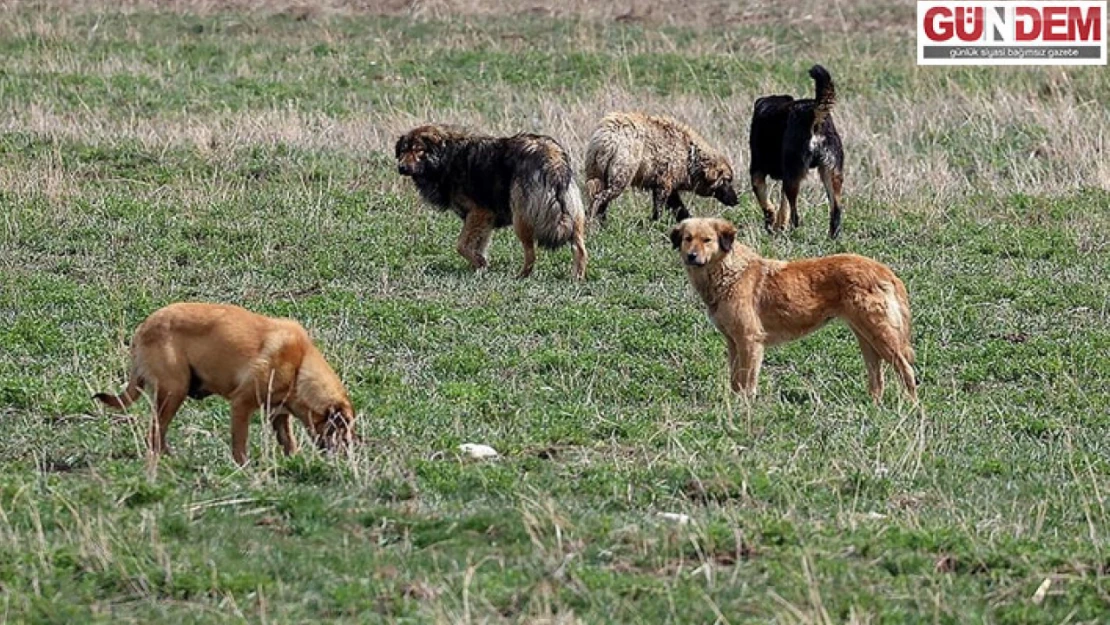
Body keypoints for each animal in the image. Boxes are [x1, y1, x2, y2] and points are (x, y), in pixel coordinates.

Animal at [97, 304, 355, 464]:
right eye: (343, 429)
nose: (350, 454)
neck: (299, 366)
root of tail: (143, 329)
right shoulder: (241, 404)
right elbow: (240, 444)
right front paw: (243, 468)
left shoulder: (278, 414)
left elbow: (288, 442)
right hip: (174, 391)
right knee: (154, 433)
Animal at [399, 124, 590, 278]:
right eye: (403, 151)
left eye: (419, 150)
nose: (401, 167)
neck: (447, 157)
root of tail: (552, 156)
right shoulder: (485, 220)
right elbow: (477, 245)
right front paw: (478, 268)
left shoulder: (479, 212)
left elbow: (461, 245)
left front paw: (480, 263)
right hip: (573, 217)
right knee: (580, 249)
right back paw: (577, 277)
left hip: (521, 219)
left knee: (531, 254)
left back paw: (521, 276)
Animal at [586, 113, 741, 225]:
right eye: (728, 180)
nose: (736, 200)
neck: (689, 157)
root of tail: (607, 137)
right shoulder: (664, 182)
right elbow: (660, 207)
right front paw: (656, 223)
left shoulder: (670, 184)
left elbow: (680, 208)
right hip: (622, 173)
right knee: (600, 197)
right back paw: (596, 223)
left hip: (596, 171)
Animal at [666, 217, 919, 401]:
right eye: (688, 239)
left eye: (707, 240)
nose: (691, 256)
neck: (729, 272)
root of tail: (884, 270)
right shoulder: (733, 342)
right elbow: (735, 379)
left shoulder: (750, 341)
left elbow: (747, 381)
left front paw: (744, 407)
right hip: (866, 338)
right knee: (878, 379)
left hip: (881, 336)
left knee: (907, 371)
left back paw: (911, 407)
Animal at [750, 64, 843, 238]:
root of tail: (814, 113)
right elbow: (782, 207)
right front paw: (778, 226)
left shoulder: (756, 171)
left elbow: (766, 203)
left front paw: (771, 223)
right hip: (831, 174)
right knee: (836, 211)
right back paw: (831, 238)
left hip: (792, 176)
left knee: (795, 215)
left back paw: (794, 234)